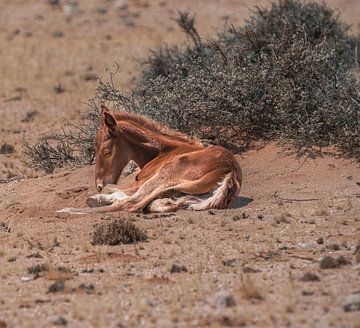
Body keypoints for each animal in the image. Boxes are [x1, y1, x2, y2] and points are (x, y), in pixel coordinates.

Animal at [59, 104, 242, 214]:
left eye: (106, 151)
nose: (98, 184)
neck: (163, 151)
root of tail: (229, 172)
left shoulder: (139, 182)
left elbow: (116, 191)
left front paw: (99, 197)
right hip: (191, 198)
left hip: (164, 175)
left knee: (131, 204)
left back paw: (68, 210)